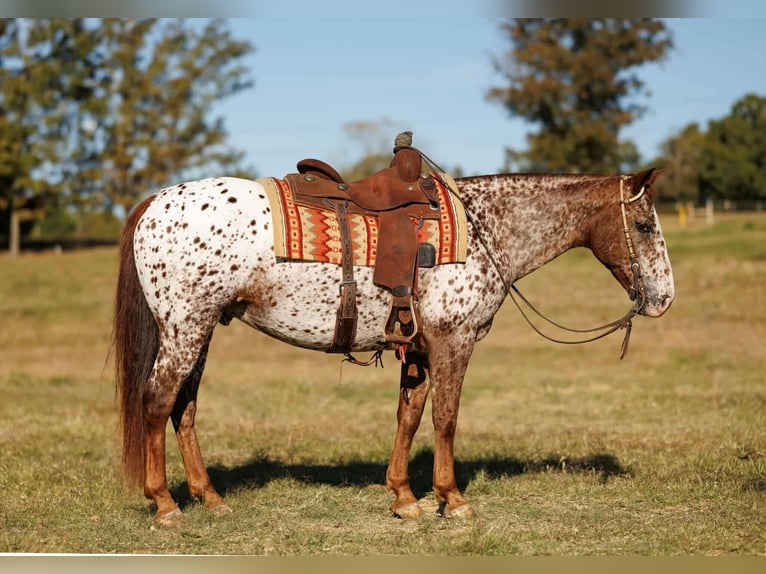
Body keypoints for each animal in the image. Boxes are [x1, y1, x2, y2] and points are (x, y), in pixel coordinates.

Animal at [112, 167, 674, 523]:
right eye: (645, 224)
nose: (664, 298)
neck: (483, 231)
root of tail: (154, 203)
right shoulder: (453, 341)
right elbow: (445, 418)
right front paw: (453, 499)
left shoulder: (419, 348)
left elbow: (410, 414)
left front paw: (404, 497)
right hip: (185, 327)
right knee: (157, 400)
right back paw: (165, 505)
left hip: (201, 329)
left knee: (184, 408)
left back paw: (209, 498)